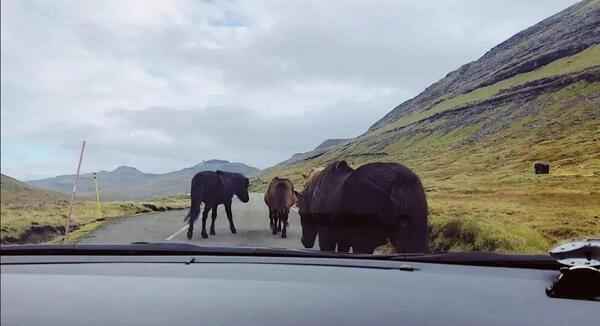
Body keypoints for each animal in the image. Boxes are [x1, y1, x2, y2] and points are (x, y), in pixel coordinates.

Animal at [298, 160, 428, 255]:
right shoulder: (342, 236)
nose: (304, 241)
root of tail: (398, 185)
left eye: (300, 212)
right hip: (415, 226)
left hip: (365, 236)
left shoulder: (326, 232)